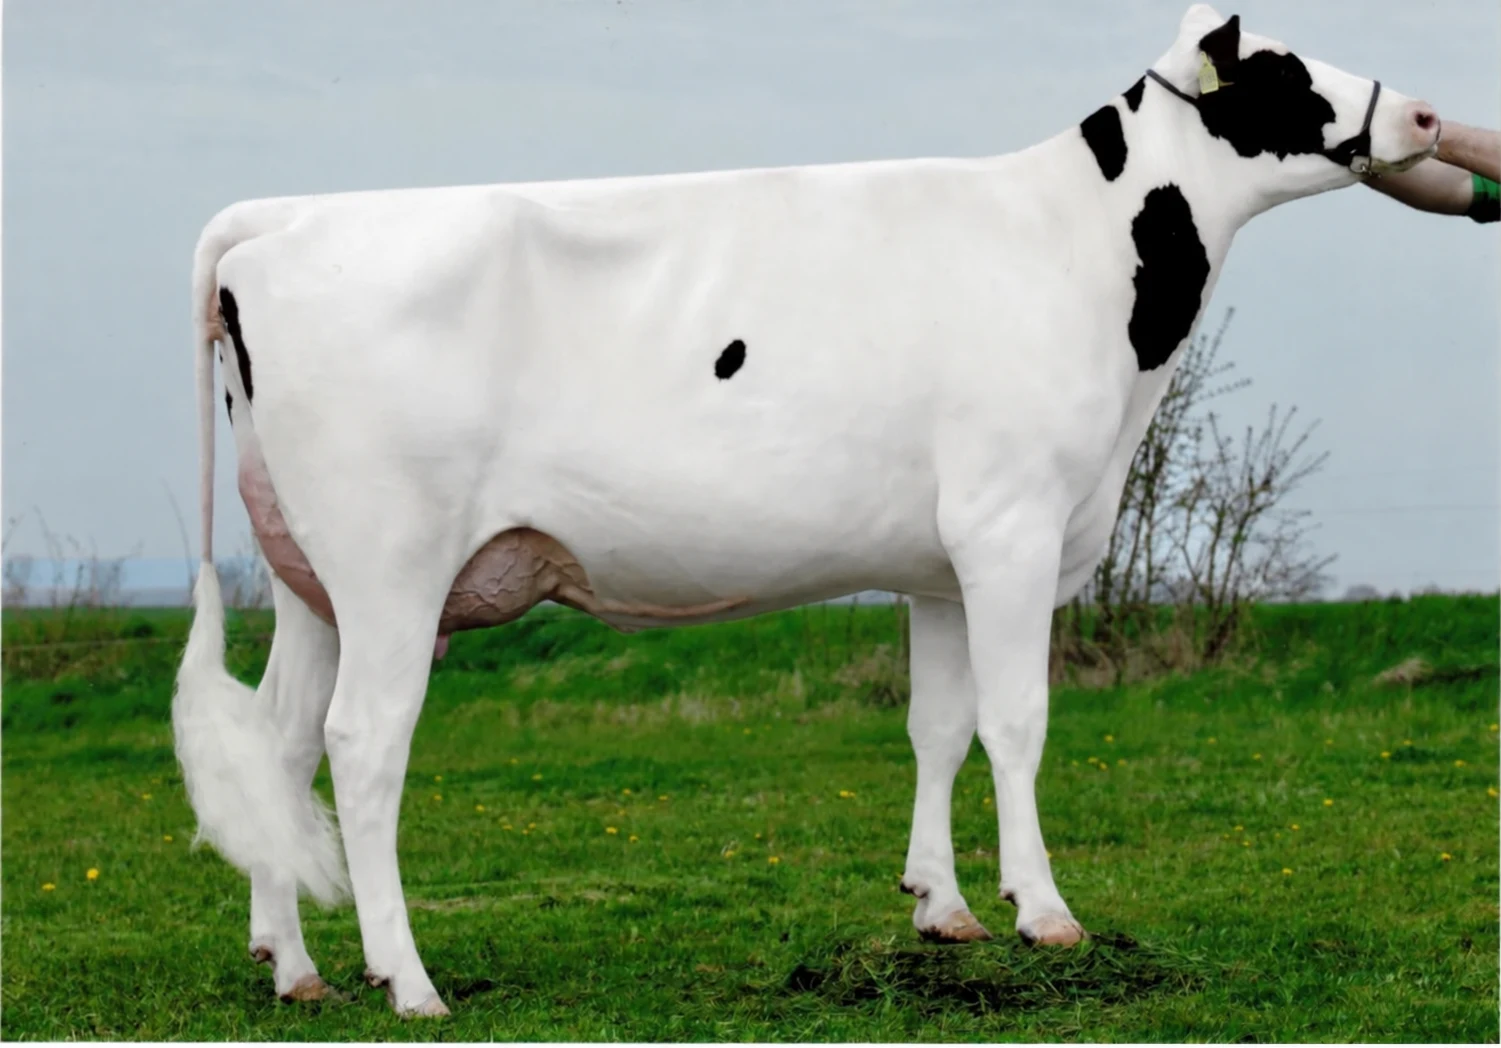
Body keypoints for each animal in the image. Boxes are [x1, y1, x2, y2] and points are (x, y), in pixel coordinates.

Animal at [171, 4, 1441, 1017]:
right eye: (1282, 68)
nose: (1426, 115)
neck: (1079, 258)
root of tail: (282, 220)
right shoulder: (1013, 524)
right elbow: (1016, 720)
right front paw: (1044, 913)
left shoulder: (939, 561)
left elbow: (938, 723)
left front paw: (942, 906)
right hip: (389, 566)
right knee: (361, 744)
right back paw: (409, 981)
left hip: (308, 580)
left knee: (281, 743)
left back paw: (296, 966)